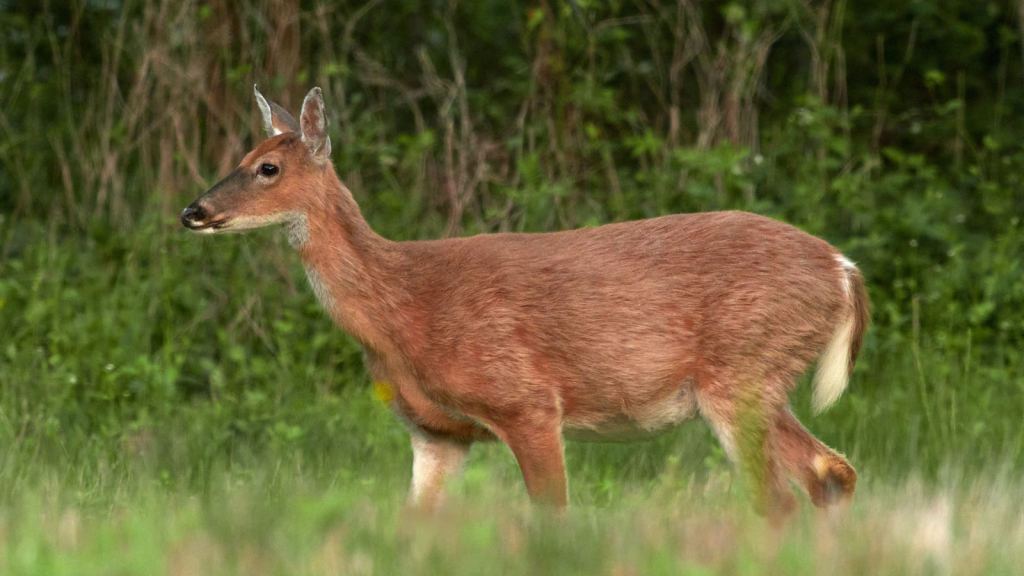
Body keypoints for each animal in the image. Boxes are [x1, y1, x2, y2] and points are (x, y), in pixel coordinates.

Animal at [180, 86, 868, 516]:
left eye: (267, 168)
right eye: (243, 156)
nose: (194, 211)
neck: (405, 307)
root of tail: (843, 270)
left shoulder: (526, 401)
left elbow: (552, 517)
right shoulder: (436, 433)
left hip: (741, 374)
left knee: (778, 499)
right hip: (761, 383)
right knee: (832, 473)